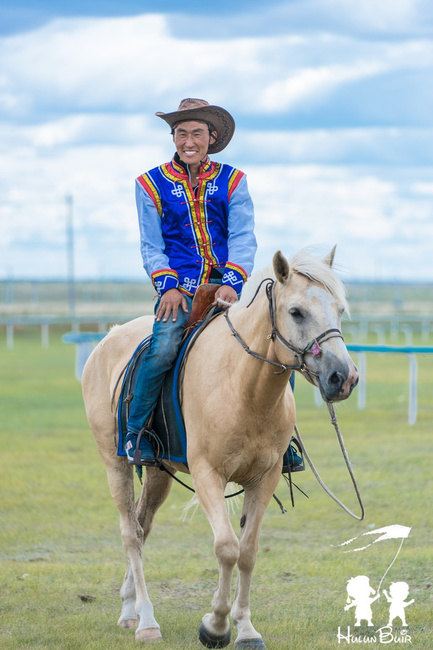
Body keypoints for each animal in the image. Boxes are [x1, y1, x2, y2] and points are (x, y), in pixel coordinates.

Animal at [81, 247, 358, 644]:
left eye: (338, 308)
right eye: (296, 312)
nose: (343, 378)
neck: (243, 386)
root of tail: (108, 339)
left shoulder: (264, 478)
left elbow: (248, 551)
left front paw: (245, 629)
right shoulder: (208, 475)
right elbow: (226, 548)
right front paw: (215, 626)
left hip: (158, 472)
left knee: (142, 525)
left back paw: (129, 608)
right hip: (114, 463)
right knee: (130, 534)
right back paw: (147, 621)